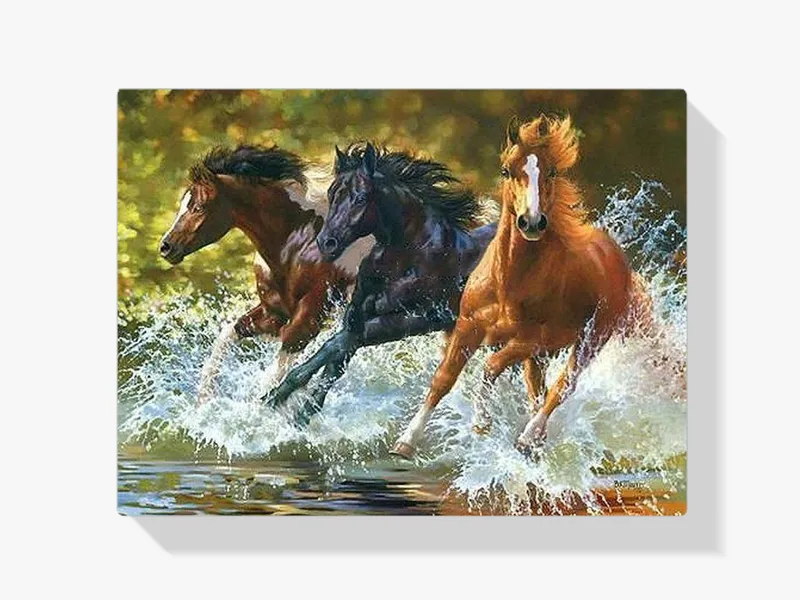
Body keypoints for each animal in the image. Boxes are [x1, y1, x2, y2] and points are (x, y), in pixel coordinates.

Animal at [159, 144, 369, 403]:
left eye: (198, 207)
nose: (166, 247)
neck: (299, 245)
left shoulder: (307, 320)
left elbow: (274, 378)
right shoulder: (273, 313)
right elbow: (228, 335)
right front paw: (204, 401)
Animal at [262, 142, 497, 425]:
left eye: (361, 198)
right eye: (331, 194)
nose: (326, 243)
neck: (410, 257)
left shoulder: (414, 319)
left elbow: (336, 345)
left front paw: (278, 397)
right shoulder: (358, 315)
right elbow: (337, 359)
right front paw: (297, 412)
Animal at [392, 115, 652, 459]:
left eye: (552, 171)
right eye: (506, 170)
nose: (531, 222)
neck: (509, 283)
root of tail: (618, 258)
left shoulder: (535, 338)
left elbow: (490, 366)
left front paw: (481, 423)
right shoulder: (468, 326)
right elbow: (443, 379)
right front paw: (406, 441)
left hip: (588, 339)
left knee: (562, 386)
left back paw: (528, 437)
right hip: (538, 356)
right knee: (538, 390)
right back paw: (536, 440)